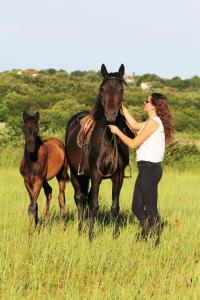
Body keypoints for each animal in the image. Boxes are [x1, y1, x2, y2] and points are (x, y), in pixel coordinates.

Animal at [65, 63, 134, 239]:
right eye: (102, 89)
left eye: (121, 89)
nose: (110, 115)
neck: (109, 138)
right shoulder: (96, 174)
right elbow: (94, 205)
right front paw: (91, 237)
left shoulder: (118, 176)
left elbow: (115, 206)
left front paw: (115, 237)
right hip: (76, 174)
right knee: (80, 199)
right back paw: (80, 230)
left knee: (86, 198)